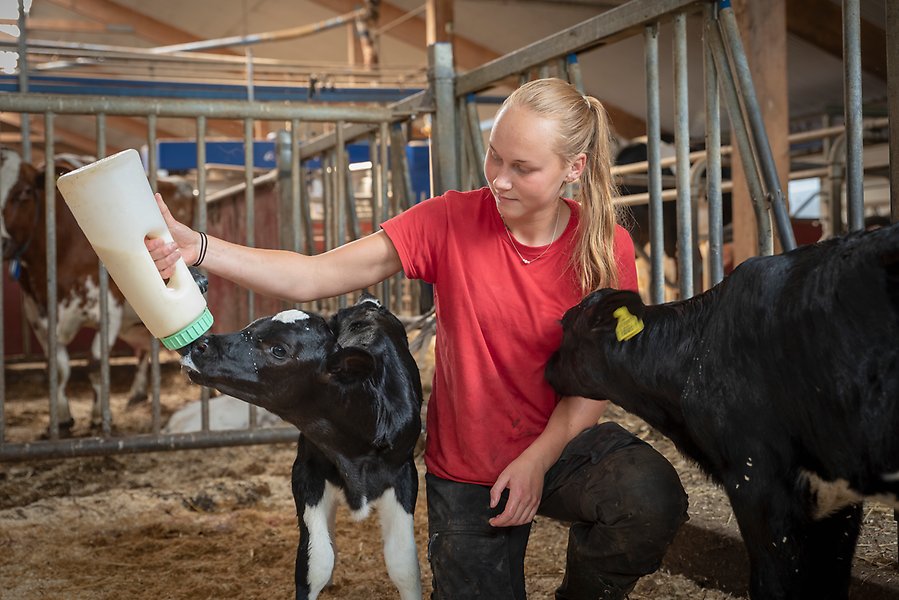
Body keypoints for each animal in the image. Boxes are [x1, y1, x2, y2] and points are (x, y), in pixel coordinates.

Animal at [1, 149, 196, 432]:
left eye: (24, 192)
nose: (2, 243)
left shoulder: (108, 308)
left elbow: (95, 364)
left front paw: (99, 417)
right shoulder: (36, 314)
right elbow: (57, 368)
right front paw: (61, 418)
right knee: (144, 349)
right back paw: (137, 393)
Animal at [182, 294, 426, 600]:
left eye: (279, 350)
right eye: (251, 325)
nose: (197, 345)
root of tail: (368, 303)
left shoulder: (404, 473)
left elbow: (403, 563)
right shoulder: (306, 472)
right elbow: (316, 560)